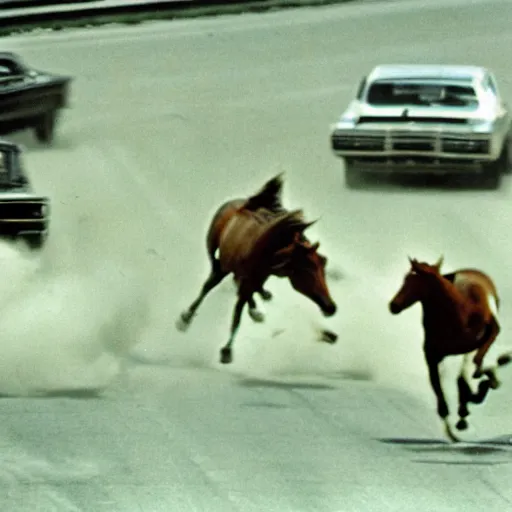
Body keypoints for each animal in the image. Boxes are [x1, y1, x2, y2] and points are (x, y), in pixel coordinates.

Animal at [175, 175, 336, 364]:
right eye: (306, 269)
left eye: (323, 263)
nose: (331, 307)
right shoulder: (237, 271)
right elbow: (235, 310)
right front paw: (226, 351)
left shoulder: (258, 274)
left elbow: (244, 297)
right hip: (216, 255)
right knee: (214, 281)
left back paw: (259, 304)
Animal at [390, 258, 510, 442]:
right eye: (405, 279)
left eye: (414, 281)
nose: (393, 306)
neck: (459, 313)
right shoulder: (432, 358)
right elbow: (441, 393)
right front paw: (453, 428)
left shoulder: (492, 331)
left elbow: (478, 364)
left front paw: (487, 379)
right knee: (462, 377)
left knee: (470, 370)